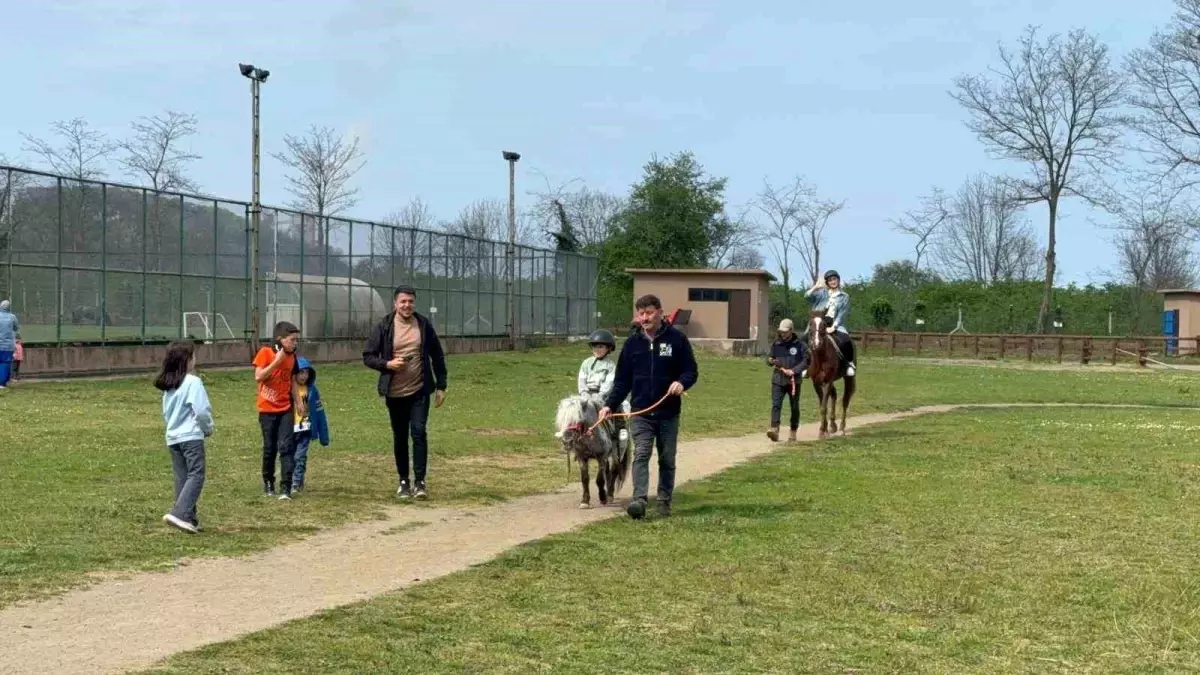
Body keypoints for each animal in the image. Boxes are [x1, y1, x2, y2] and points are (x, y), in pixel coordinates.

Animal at [806, 309, 854, 437]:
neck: (821, 357)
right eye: (810, 324)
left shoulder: (828, 381)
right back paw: (833, 425)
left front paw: (822, 431)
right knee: (834, 395)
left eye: (823, 325)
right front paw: (825, 429)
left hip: (848, 379)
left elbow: (824, 406)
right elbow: (822, 404)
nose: (816, 343)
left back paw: (842, 427)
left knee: (845, 400)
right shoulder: (816, 382)